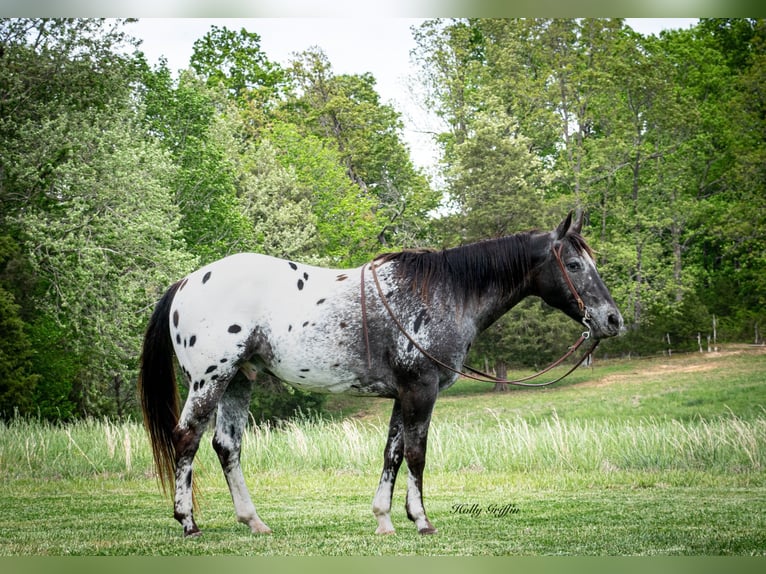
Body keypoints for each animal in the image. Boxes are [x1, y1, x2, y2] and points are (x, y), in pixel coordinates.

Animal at [141, 213, 628, 540]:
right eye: (576, 265)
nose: (612, 320)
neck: (445, 293)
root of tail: (187, 281)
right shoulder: (421, 390)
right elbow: (416, 454)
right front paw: (423, 521)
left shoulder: (402, 395)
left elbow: (392, 454)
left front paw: (385, 519)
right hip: (210, 380)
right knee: (186, 439)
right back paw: (188, 522)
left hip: (239, 381)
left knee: (227, 446)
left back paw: (253, 521)